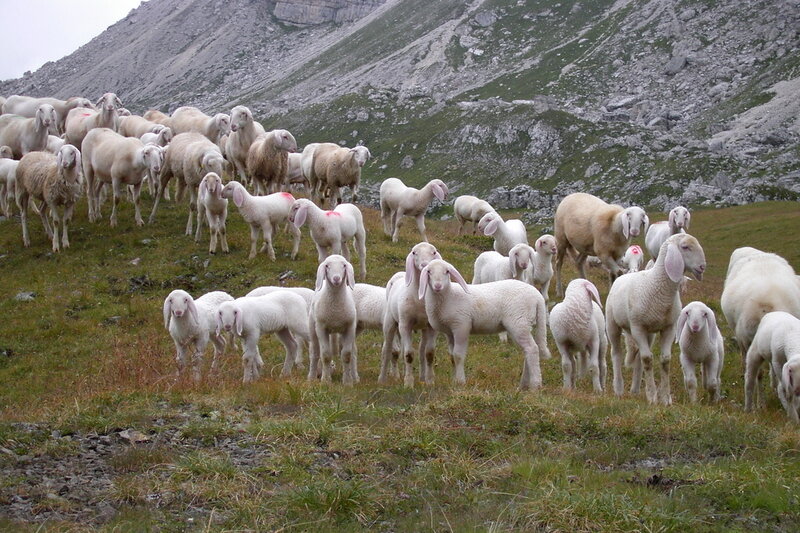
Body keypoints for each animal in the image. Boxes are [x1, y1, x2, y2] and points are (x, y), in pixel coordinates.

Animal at [308, 255, 358, 384]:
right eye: (327, 266)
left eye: (344, 265)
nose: (336, 279)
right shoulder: (321, 328)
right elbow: (325, 355)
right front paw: (326, 381)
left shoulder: (350, 327)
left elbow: (347, 355)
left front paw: (347, 382)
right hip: (313, 328)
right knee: (315, 353)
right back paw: (311, 377)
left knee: (353, 353)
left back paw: (355, 377)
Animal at [379, 242, 443, 387]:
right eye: (414, 252)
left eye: (434, 252)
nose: (425, 265)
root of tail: (399, 274)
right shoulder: (405, 325)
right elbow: (408, 355)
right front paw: (408, 383)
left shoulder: (432, 327)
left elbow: (429, 353)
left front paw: (430, 381)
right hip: (390, 322)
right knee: (387, 349)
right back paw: (382, 378)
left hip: (423, 328)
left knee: (421, 350)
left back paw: (422, 377)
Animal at [418, 259, 550, 390]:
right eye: (429, 271)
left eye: (447, 271)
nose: (437, 286)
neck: (449, 296)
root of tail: (537, 296)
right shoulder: (449, 332)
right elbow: (451, 356)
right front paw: (454, 381)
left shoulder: (461, 325)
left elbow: (458, 355)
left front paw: (460, 382)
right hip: (522, 324)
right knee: (528, 350)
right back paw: (523, 385)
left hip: (519, 322)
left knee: (532, 349)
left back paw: (535, 385)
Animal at [605, 233, 706, 405]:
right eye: (685, 247)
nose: (702, 267)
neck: (657, 286)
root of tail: (624, 275)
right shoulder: (637, 327)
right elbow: (647, 359)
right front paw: (652, 397)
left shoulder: (669, 328)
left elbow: (665, 360)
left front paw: (665, 398)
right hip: (613, 324)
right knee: (617, 353)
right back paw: (618, 389)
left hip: (649, 333)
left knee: (638, 357)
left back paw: (635, 389)